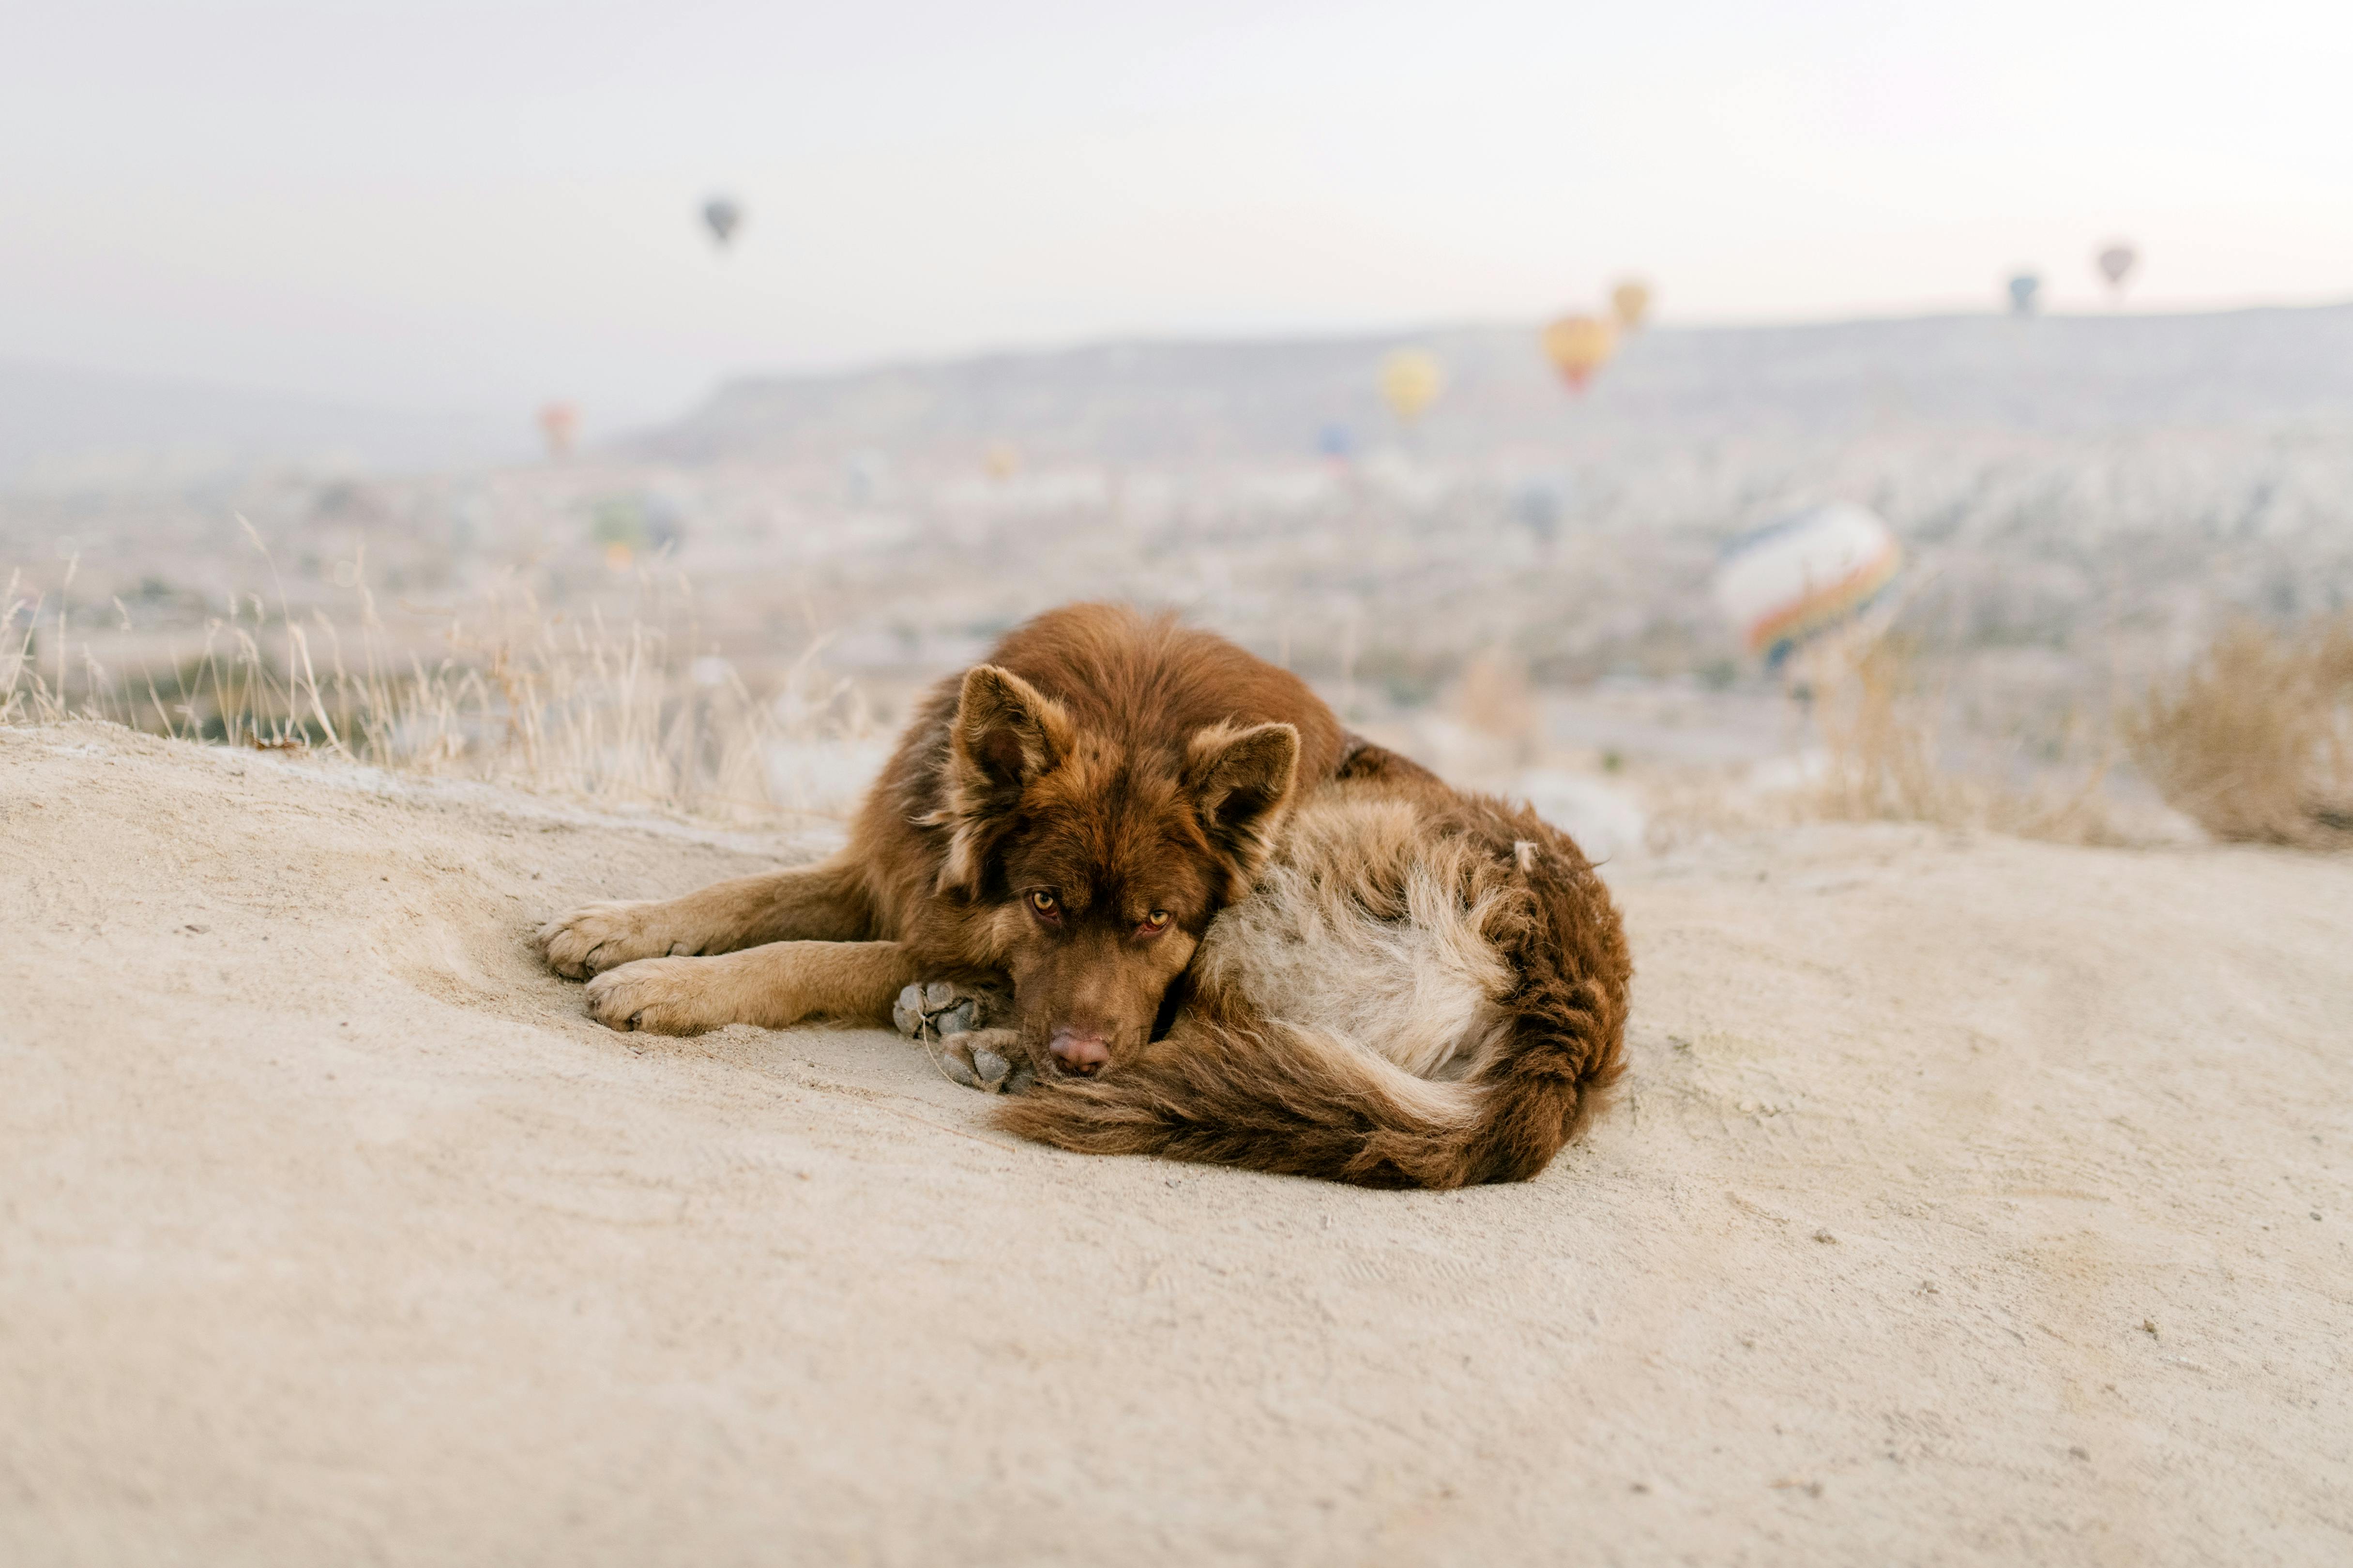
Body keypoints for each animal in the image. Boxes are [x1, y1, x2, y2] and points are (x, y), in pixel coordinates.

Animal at [536, 606, 1346, 1081]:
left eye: (1157, 920)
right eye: (1045, 902)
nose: (1079, 1063)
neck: (1132, 714)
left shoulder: (937, 937)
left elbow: (809, 957)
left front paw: (672, 985)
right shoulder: (891, 870)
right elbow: (744, 893)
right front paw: (619, 927)